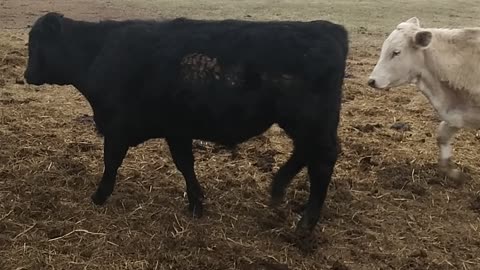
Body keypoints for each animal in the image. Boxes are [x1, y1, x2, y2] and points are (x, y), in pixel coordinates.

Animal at [24, 12, 348, 236]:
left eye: (35, 44)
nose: (27, 75)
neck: (97, 54)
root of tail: (329, 29)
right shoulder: (176, 130)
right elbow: (185, 164)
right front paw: (196, 202)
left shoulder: (117, 127)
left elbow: (111, 162)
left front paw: (99, 196)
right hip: (305, 123)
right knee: (306, 153)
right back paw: (279, 187)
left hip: (311, 121)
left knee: (322, 160)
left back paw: (305, 223)